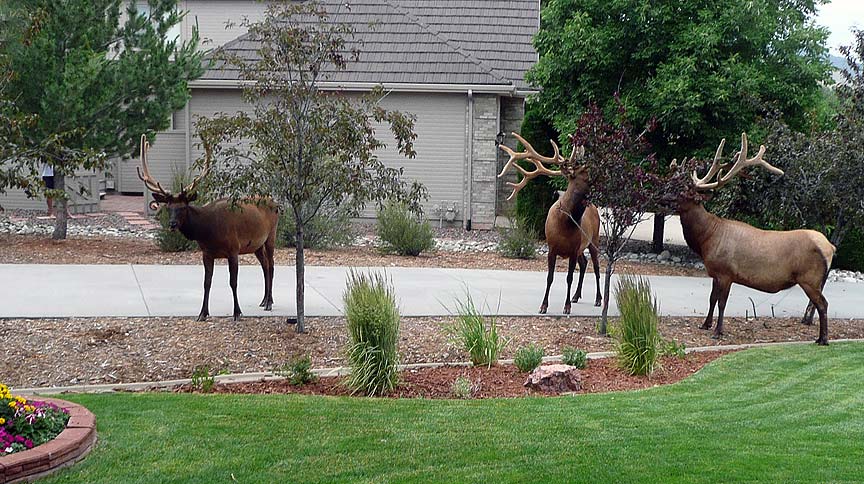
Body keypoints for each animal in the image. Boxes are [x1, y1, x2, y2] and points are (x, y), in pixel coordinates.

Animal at [138, 134, 280, 322]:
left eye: (183, 207)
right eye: (168, 207)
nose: (172, 224)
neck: (208, 231)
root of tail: (276, 203)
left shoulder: (233, 249)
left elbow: (233, 282)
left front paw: (237, 312)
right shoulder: (206, 253)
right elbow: (207, 283)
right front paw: (202, 313)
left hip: (271, 234)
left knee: (271, 265)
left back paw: (270, 302)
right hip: (256, 245)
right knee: (264, 265)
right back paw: (263, 300)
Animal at [500, 132, 600, 314]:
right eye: (585, 173)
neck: (565, 224)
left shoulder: (573, 249)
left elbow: (569, 278)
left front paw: (566, 307)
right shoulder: (552, 248)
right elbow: (550, 277)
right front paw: (543, 306)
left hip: (594, 239)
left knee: (596, 267)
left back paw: (598, 299)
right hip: (583, 246)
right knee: (585, 264)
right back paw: (576, 296)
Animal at [672, 133, 832, 344]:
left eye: (683, 193)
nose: (662, 197)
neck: (707, 239)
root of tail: (831, 248)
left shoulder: (726, 272)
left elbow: (722, 303)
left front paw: (718, 331)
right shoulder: (715, 273)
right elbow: (712, 298)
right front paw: (705, 325)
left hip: (810, 278)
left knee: (823, 304)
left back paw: (823, 339)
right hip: (816, 280)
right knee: (818, 304)